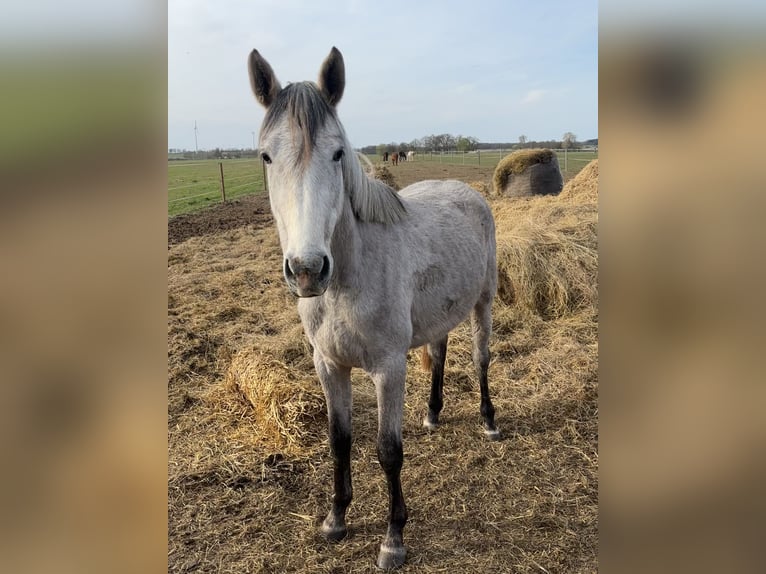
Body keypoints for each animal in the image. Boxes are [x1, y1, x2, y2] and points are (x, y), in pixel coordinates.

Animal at [248, 46, 499, 570]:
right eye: (266, 156)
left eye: (337, 153)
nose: (307, 270)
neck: (348, 280)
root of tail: (467, 191)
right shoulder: (328, 365)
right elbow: (339, 440)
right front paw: (336, 518)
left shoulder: (388, 368)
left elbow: (388, 451)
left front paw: (393, 538)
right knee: (439, 354)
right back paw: (432, 414)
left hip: (483, 303)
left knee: (481, 359)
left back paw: (489, 421)